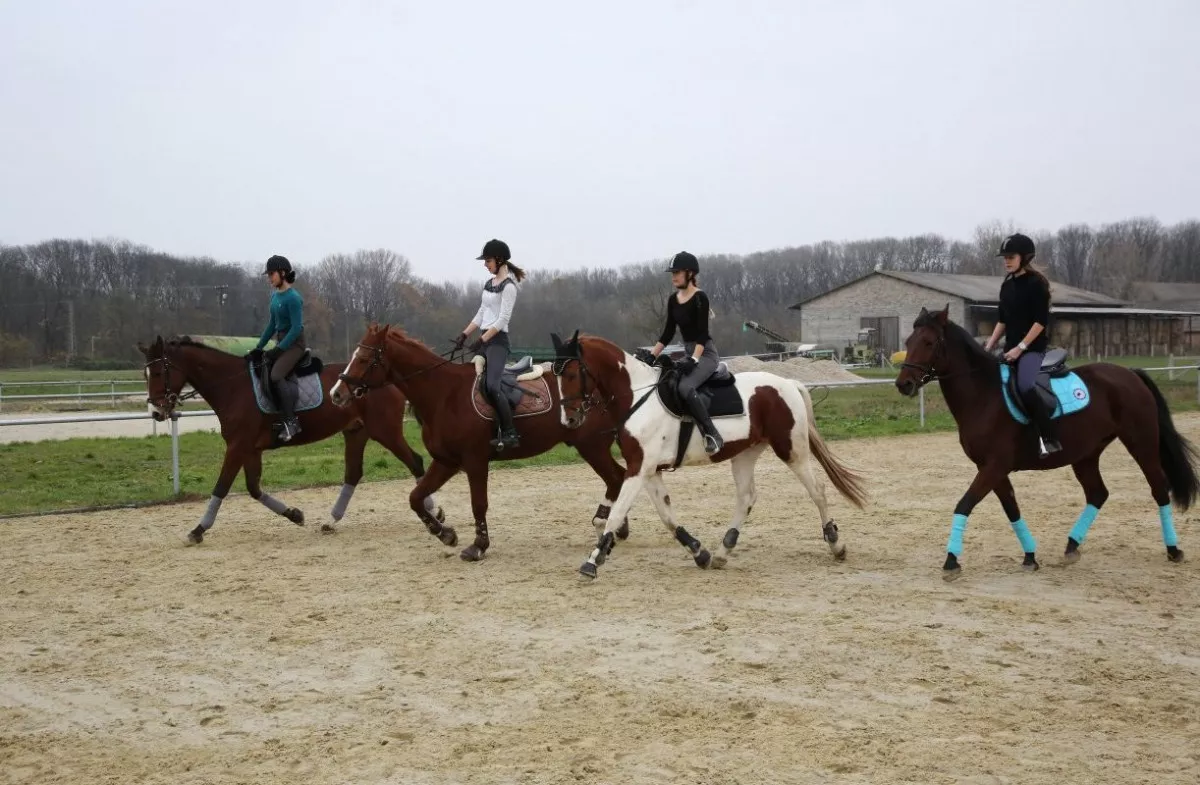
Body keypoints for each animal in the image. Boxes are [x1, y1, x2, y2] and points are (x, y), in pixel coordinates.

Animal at [139, 336, 441, 544]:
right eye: (145, 373)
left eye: (158, 372)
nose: (156, 412)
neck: (232, 386)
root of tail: (389, 378)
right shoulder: (250, 450)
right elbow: (254, 489)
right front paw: (295, 515)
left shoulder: (237, 447)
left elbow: (221, 487)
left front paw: (199, 529)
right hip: (356, 432)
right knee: (353, 474)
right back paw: (331, 521)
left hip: (385, 431)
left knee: (415, 462)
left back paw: (435, 512)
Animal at [324, 326, 633, 566]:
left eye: (364, 358)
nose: (336, 394)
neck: (443, 394)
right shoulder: (446, 462)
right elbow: (415, 498)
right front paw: (445, 534)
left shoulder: (474, 461)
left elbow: (478, 504)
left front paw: (478, 546)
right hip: (593, 448)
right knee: (618, 478)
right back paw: (617, 529)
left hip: (592, 447)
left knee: (615, 478)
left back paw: (609, 526)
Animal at [549, 328, 868, 580]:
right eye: (557, 376)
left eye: (573, 374)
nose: (569, 420)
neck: (637, 396)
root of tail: (787, 384)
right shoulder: (648, 470)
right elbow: (666, 516)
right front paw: (699, 552)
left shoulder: (639, 469)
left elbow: (616, 515)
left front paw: (592, 562)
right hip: (745, 454)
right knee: (747, 498)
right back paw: (723, 551)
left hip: (792, 450)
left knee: (818, 490)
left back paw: (836, 544)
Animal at [897, 304, 1195, 580]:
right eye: (908, 342)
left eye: (929, 342)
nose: (903, 384)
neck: (984, 395)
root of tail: (1130, 374)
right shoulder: (993, 469)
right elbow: (1012, 509)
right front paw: (1030, 556)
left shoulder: (994, 467)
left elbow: (964, 504)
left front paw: (951, 561)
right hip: (1086, 454)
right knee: (1098, 493)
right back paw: (1072, 546)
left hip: (1141, 443)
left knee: (1159, 489)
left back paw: (1173, 549)